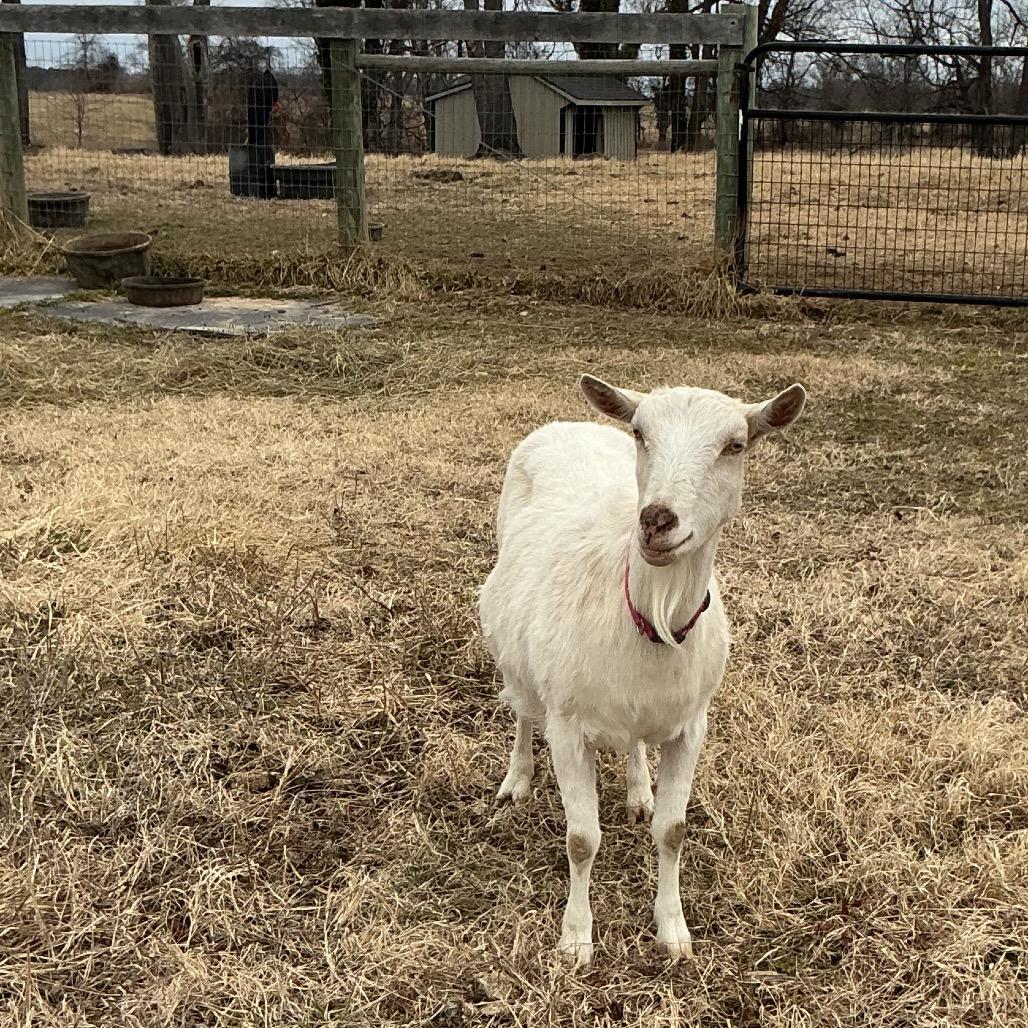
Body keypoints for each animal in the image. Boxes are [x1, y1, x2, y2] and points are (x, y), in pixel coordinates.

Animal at [478, 375, 806, 964]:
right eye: (640, 433)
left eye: (736, 445)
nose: (655, 520)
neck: (647, 614)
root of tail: (569, 424)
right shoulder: (567, 724)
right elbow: (581, 838)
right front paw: (575, 940)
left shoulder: (692, 725)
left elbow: (673, 830)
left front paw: (673, 931)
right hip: (514, 647)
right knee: (521, 709)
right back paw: (517, 780)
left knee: (631, 743)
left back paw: (638, 791)